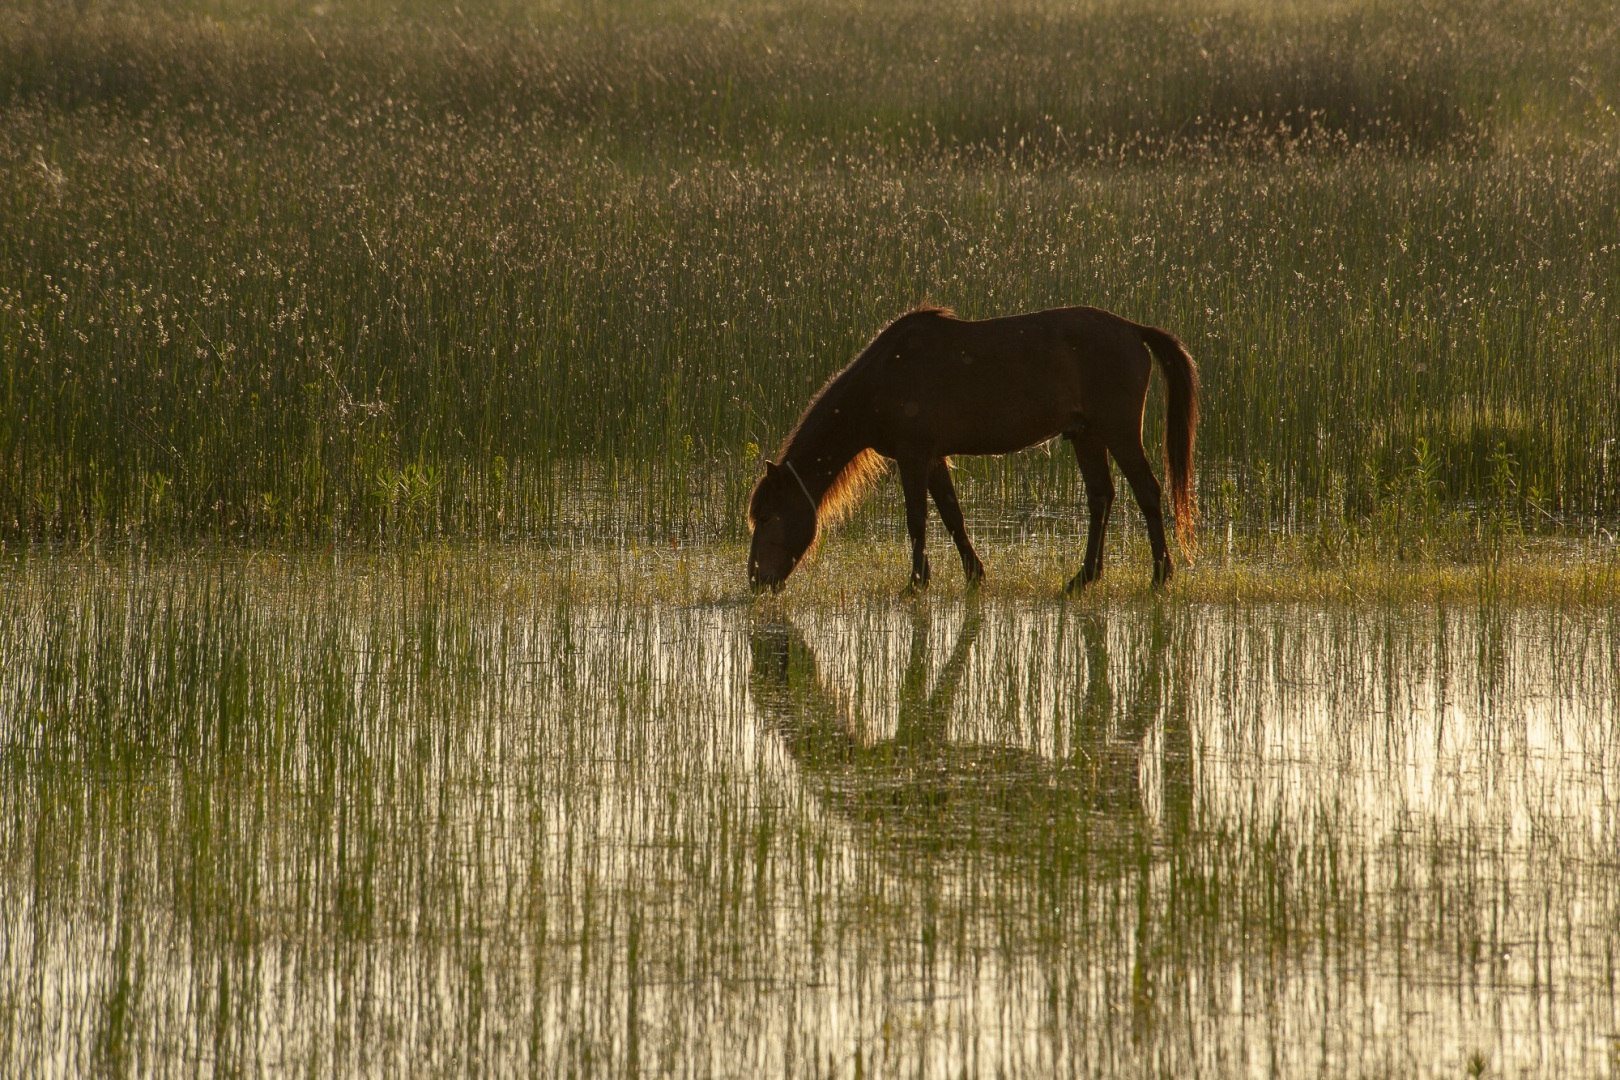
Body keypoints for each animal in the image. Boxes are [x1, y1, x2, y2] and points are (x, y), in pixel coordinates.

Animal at [751, 304, 1198, 595]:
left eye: (768, 516)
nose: (756, 580)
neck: (883, 375)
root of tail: (1134, 330)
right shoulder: (933, 459)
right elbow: (952, 517)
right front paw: (974, 574)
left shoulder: (913, 456)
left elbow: (917, 521)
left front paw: (916, 583)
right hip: (1086, 436)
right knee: (1101, 497)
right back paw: (1083, 577)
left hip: (1118, 432)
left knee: (1147, 491)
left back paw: (1160, 574)